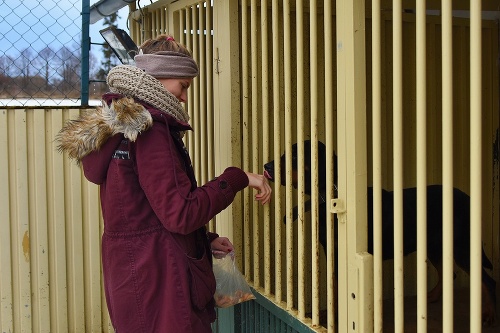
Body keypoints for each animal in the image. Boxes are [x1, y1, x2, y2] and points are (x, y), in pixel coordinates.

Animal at [264, 139, 498, 324]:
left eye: (295, 155)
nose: (266, 166)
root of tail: (468, 199)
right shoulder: (333, 252)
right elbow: (335, 285)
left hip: (462, 246)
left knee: (488, 281)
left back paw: (488, 314)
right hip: (435, 246)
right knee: (449, 272)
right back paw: (432, 297)